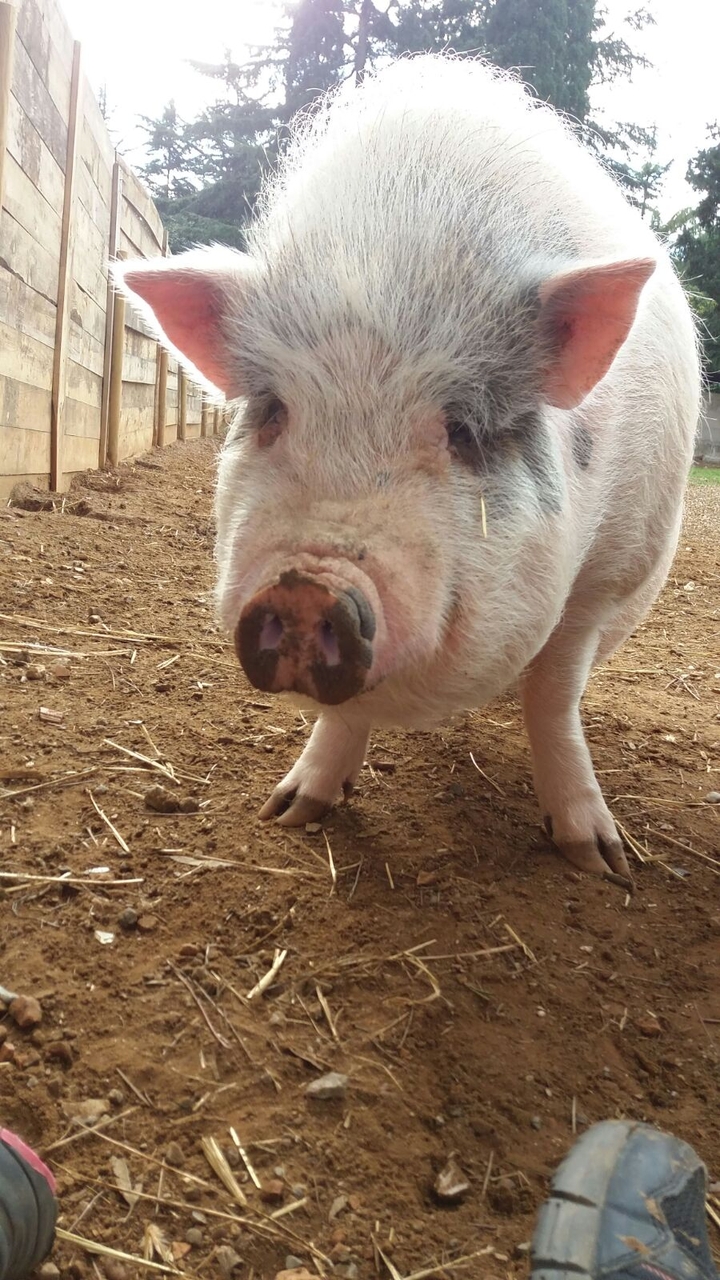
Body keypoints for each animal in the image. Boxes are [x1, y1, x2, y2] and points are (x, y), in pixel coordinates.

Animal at [116, 54, 700, 890]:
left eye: (460, 431)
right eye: (274, 412)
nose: (306, 584)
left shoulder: (610, 574)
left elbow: (553, 693)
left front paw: (598, 859)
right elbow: (342, 714)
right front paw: (289, 811)